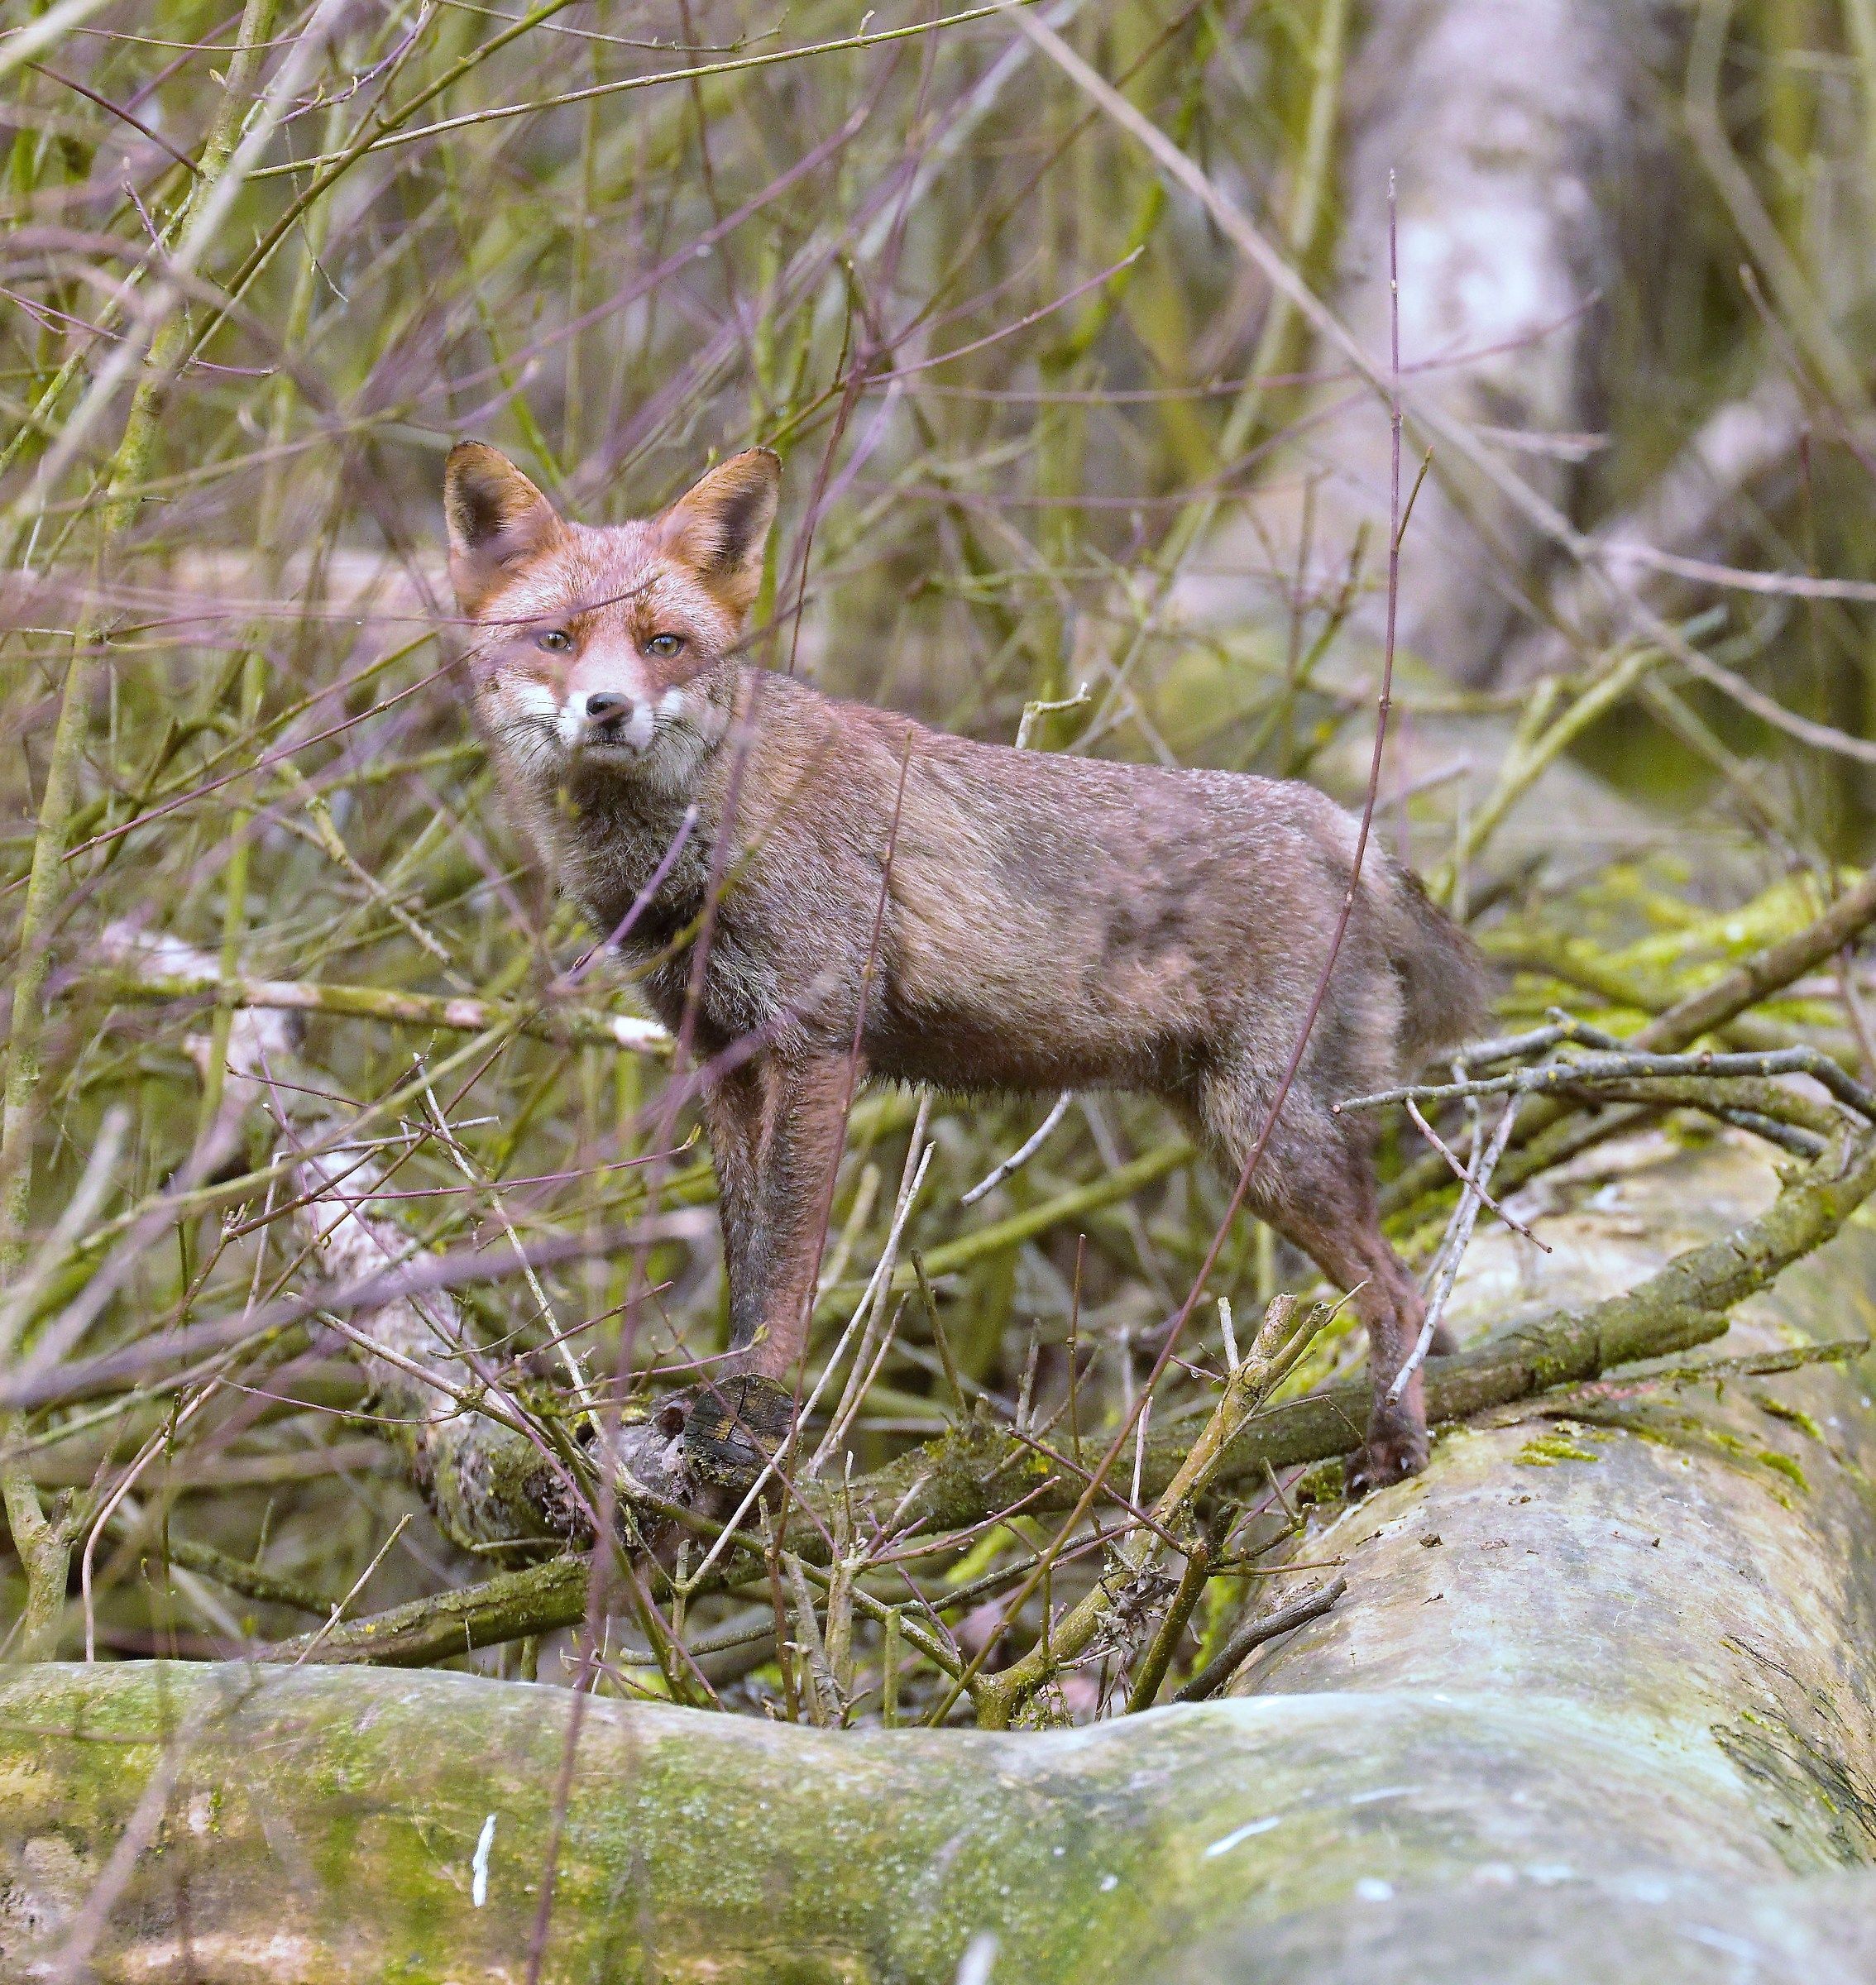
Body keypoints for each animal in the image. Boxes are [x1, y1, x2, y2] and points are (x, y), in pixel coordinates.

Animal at [443, 440, 1487, 1491]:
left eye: (663, 644)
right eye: (558, 640)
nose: (607, 709)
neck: (699, 852)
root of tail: (1339, 822)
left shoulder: (817, 1046)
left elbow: (784, 1272)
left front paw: (754, 1419)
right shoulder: (720, 1060)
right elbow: (744, 1268)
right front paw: (718, 1401)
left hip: (1270, 1136)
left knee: (1400, 1290)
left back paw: (1395, 1441)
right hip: (1228, 1134)